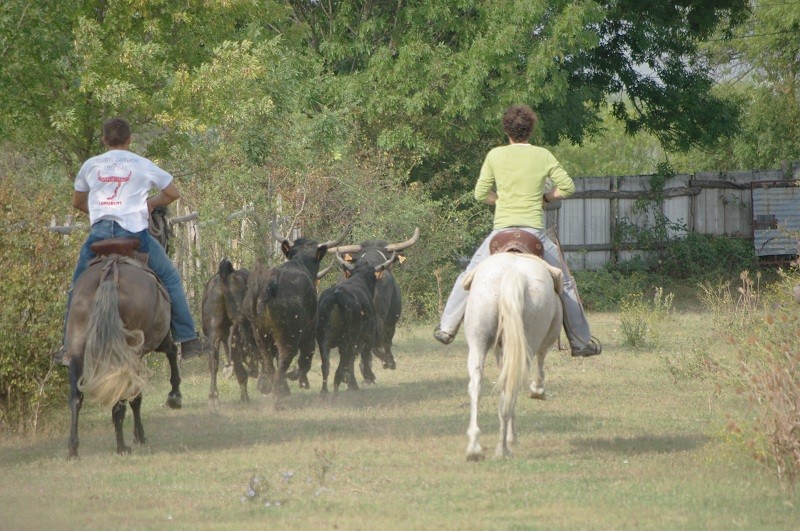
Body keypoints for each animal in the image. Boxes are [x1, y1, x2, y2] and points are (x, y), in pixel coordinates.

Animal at [462, 251, 564, 460]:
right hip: (528, 342)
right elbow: (540, 365)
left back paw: (475, 448)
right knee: (513, 386)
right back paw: (503, 449)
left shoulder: (502, 352)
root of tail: (513, 274)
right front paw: (538, 390)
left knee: (477, 385)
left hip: (477, 342)